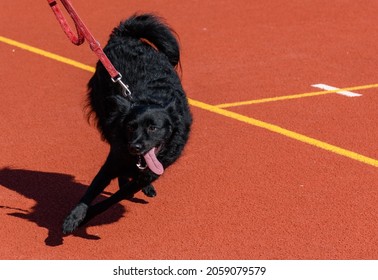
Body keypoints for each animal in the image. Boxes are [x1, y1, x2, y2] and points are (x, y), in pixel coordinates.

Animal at [63, 13, 192, 234]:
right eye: (131, 127)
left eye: (153, 128)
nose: (135, 147)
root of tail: (125, 35)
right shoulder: (114, 159)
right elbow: (90, 192)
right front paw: (74, 217)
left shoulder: (150, 173)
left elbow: (113, 199)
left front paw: (89, 215)